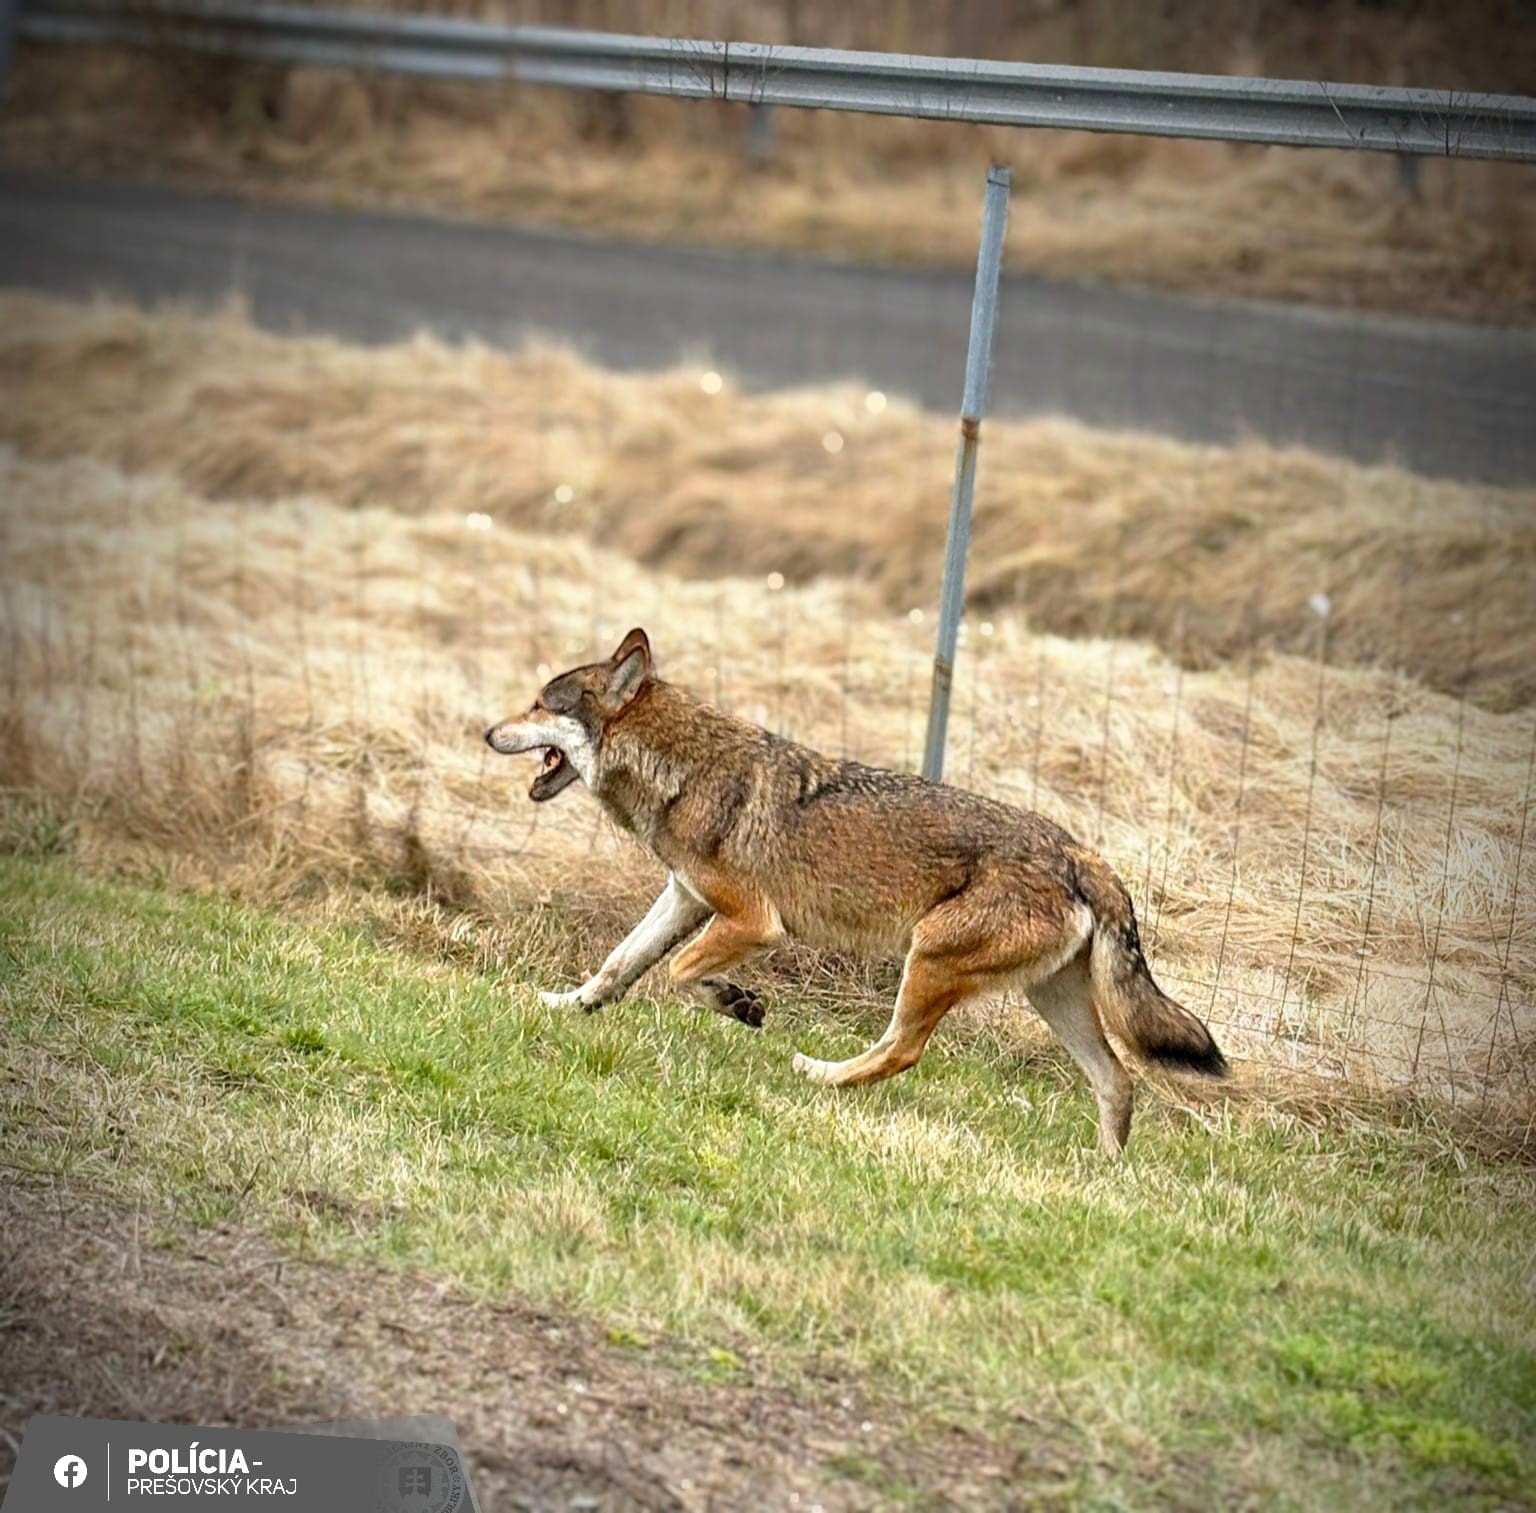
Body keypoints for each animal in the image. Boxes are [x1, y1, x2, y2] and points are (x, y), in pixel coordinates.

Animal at [486, 628, 1226, 1154]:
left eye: (539, 704)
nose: (486, 731)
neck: (684, 770)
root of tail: (1083, 854)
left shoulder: (752, 922)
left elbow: (678, 972)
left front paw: (737, 1002)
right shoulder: (686, 898)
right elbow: (618, 965)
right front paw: (561, 1005)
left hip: (930, 961)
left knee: (902, 1051)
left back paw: (815, 1073)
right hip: (1049, 998)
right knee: (1117, 1080)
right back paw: (1107, 1174)